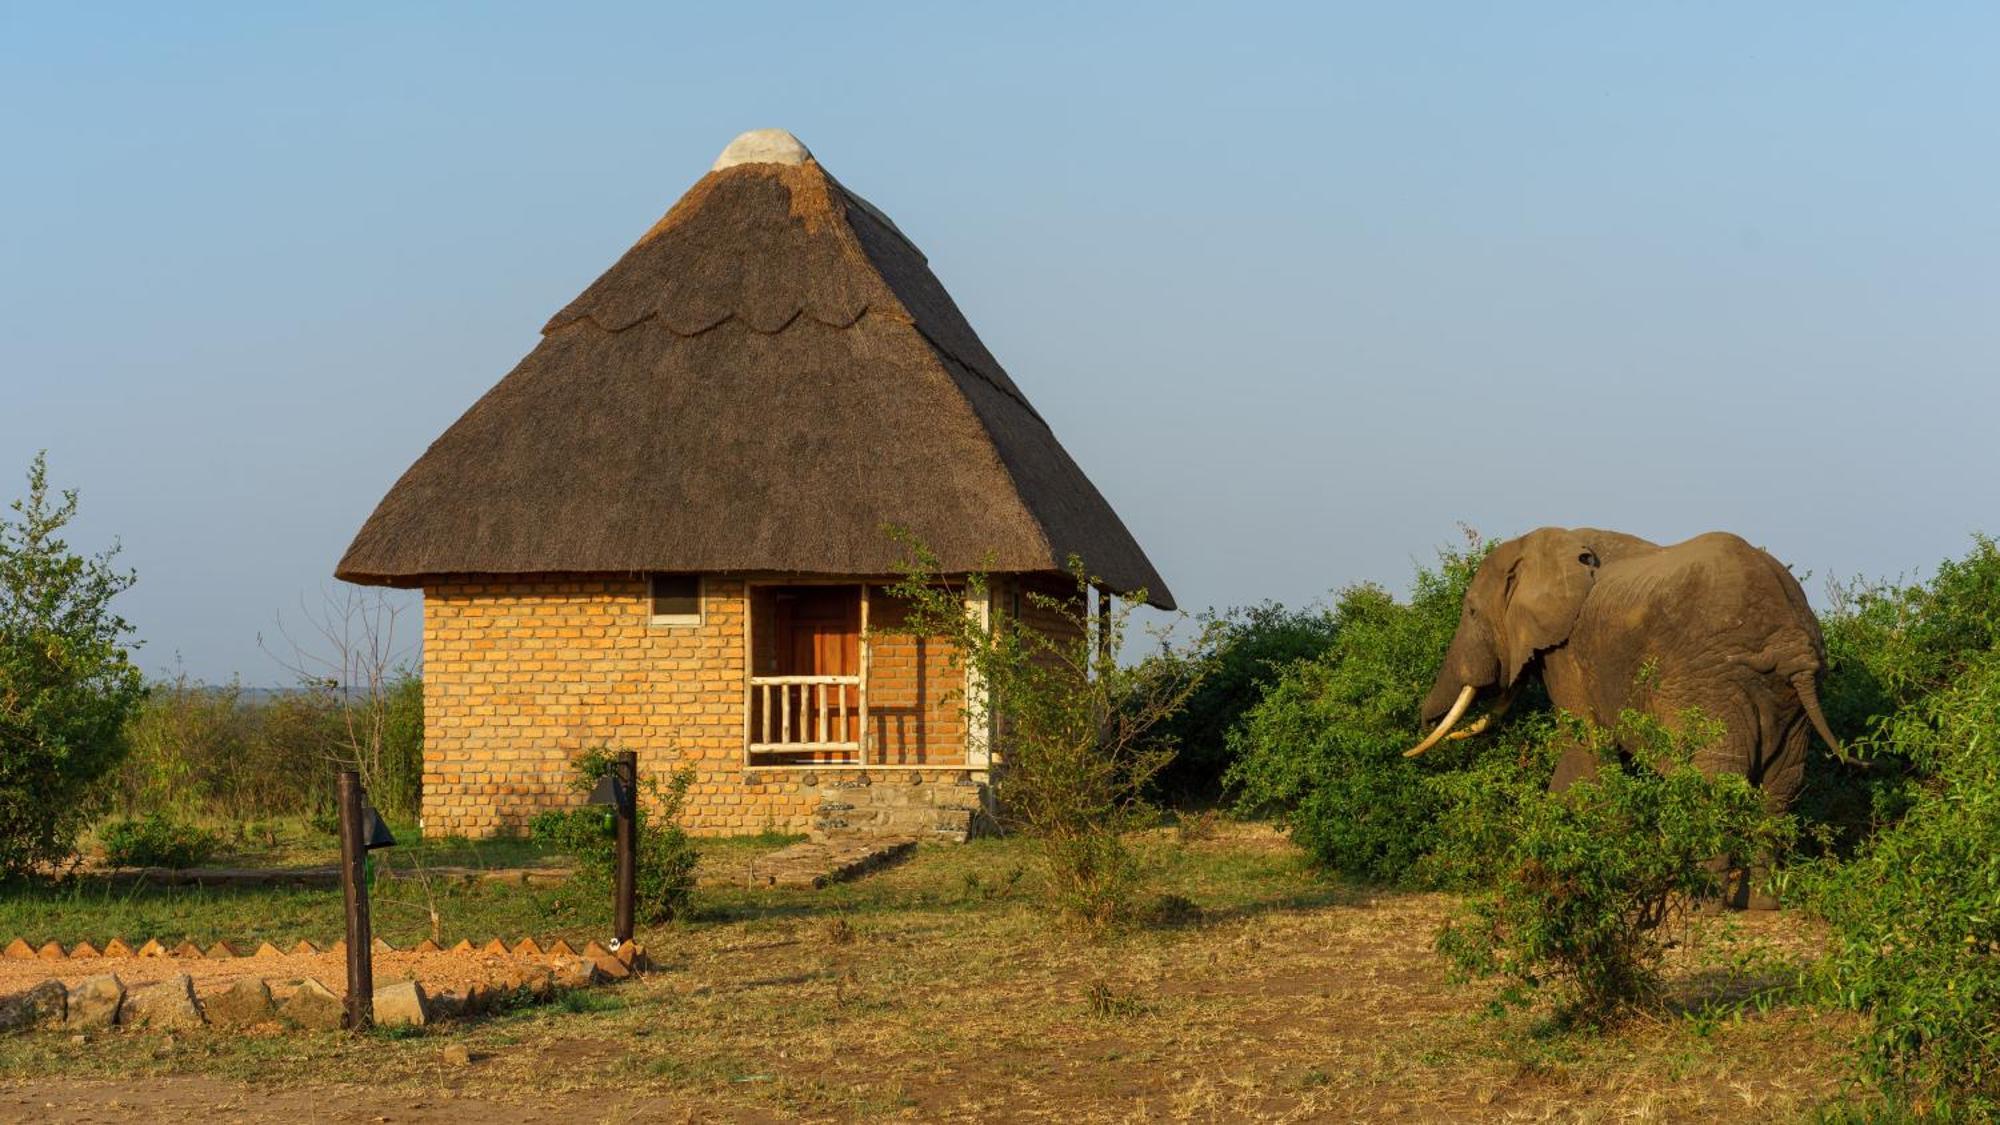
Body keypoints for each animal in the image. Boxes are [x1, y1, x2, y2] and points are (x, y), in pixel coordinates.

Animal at [1408, 524, 1840, 824]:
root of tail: (1790, 641)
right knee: (1781, 787)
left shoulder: (1568, 650)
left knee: (1715, 774)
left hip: (1715, 685)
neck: (1542, 543)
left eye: (1472, 612)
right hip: (1788, 699)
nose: (1421, 724)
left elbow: (1584, 742)